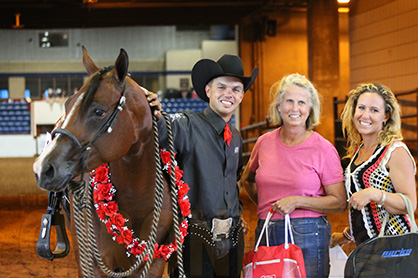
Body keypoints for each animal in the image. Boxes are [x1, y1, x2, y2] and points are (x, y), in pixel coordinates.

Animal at [33, 46, 181, 276]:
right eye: (67, 103)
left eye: (99, 111)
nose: (44, 167)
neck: (136, 200)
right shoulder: (95, 262)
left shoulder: (154, 262)